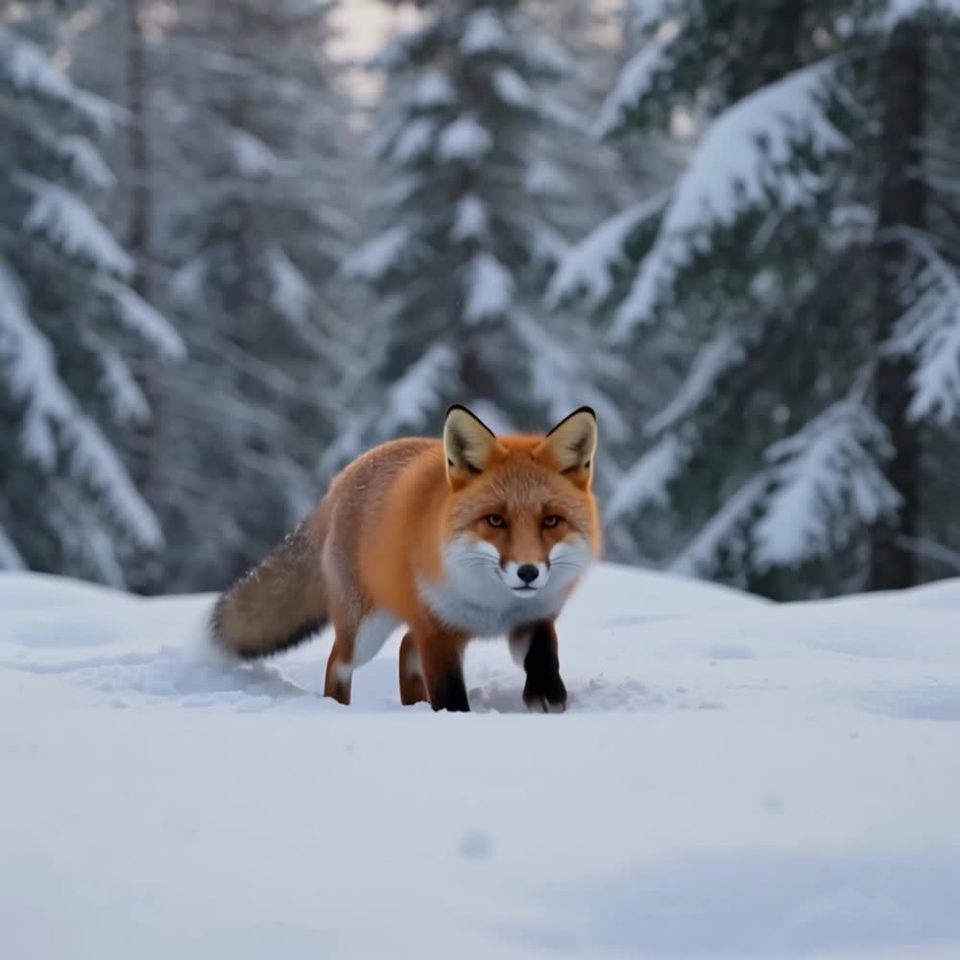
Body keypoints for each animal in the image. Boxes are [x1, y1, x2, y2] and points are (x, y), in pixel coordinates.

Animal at [210, 404, 600, 712]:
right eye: (494, 520)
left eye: (551, 521)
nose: (528, 572)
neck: (494, 605)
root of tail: (342, 478)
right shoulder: (439, 632)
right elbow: (448, 693)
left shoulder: (532, 616)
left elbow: (544, 654)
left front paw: (547, 694)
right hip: (366, 631)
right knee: (339, 663)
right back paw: (338, 708)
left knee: (404, 648)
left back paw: (414, 706)